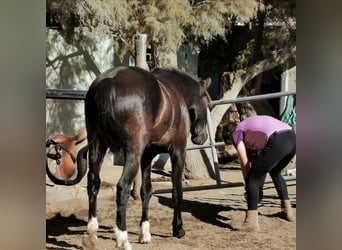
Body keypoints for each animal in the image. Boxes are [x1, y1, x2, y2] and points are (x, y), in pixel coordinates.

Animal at [48, 66, 211, 248]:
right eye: (207, 103)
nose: (201, 137)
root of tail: (107, 83)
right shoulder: (177, 152)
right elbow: (177, 191)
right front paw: (178, 229)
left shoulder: (147, 155)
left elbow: (146, 191)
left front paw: (145, 233)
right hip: (132, 153)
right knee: (123, 187)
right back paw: (122, 238)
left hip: (97, 147)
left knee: (94, 183)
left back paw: (91, 232)